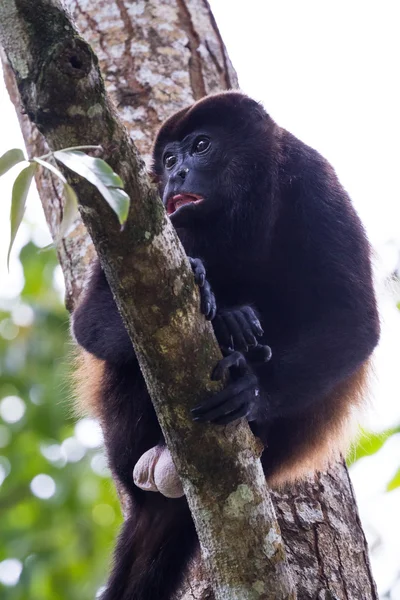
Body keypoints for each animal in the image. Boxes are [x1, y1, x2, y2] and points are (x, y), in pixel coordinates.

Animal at [71, 90, 378, 600]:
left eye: (201, 146)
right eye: (168, 159)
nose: (175, 174)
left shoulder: (315, 181)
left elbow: (354, 321)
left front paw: (251, 390)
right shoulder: (145, 211)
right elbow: (89, 321)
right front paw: (217, 307)